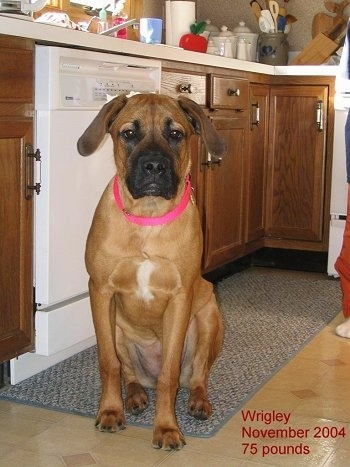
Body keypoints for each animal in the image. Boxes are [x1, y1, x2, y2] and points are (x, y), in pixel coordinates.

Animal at [77, 94, 226, 450]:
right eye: (129, 133)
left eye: (176, 134)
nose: (154, 167)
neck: (148, 217)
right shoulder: (100, 292)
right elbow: (109, 364)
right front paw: (110, 411)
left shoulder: (180, 297)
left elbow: (169, 377)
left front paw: (167, 428)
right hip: (117, 327)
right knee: (130, 374)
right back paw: (133, 398)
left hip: (209, 317)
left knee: (197, 375)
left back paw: (198, 402)